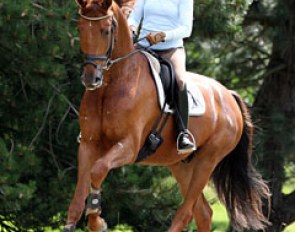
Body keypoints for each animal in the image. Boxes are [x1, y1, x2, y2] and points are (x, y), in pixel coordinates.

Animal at [64, 0, 270, 232]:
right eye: (80, 28)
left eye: (106, 30)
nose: (91, 79)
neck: (112, 85)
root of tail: (229, 95)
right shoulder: (88, 145)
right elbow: (79, 194)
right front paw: (82, 220)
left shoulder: (129, 146)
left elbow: (98, 170)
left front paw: (97, 219)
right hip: (181, 164)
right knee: (203, 212)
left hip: (208, 160)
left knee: (186, 212)